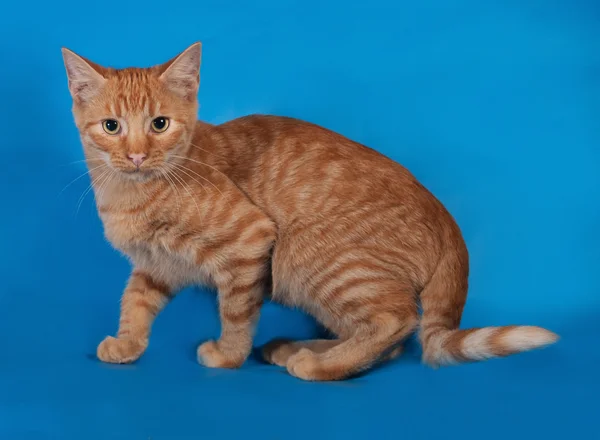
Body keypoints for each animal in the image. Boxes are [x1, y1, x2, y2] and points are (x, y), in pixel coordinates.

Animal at [62, 43, 556, 382]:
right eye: (112, 127)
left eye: (160, 124)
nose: (137, 155)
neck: (130, 193)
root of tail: (448, 221)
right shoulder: (157, 265)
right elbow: (135, 302)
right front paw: (127, 343)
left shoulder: (249, 242)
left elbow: (236, 313)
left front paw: (227, 356)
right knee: (387, 342)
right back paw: (301, 350)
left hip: (310, 258)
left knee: (396, 323)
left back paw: (317, 365)